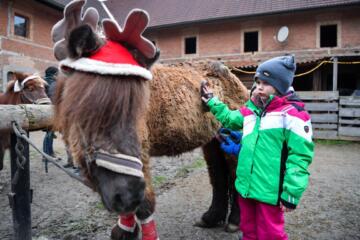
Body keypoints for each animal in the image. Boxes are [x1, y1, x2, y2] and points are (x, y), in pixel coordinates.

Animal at [50, 1, 248, 238]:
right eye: (84, 105)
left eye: (137, 105)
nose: (126, 194)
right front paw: (124, 230)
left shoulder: (140, 153)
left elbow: (144, 206)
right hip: (213, 140)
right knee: (218, 175)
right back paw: (211, 217)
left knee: (235, 175)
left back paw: (234, 221)